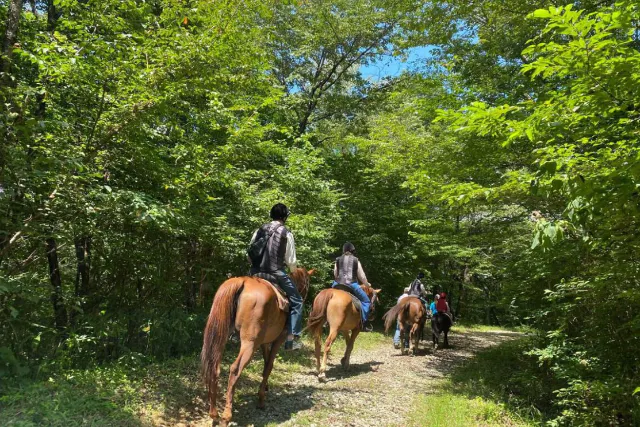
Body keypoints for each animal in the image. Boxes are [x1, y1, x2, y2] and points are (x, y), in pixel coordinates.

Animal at [201, 268, 313, 426]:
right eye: (307, 284)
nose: (305, 297)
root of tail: (242, 281)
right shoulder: (278, 340)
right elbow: (269, 366)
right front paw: (261, 399)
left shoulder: (264, 342)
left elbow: (266, 364)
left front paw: (265, 388)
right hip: (250, 343)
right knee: (235, 369)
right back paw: (226, 416)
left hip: (222, 335)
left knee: (214, 367)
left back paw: (214, 414)